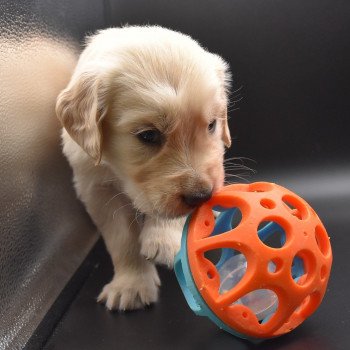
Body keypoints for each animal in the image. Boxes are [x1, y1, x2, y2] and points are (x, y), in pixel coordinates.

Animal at [56, 24, 231, 310]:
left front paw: (164, 239)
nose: (202, 196)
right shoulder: (96, 188)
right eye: (148, 135)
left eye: (211, 125)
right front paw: (131, 285)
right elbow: (122, 239)